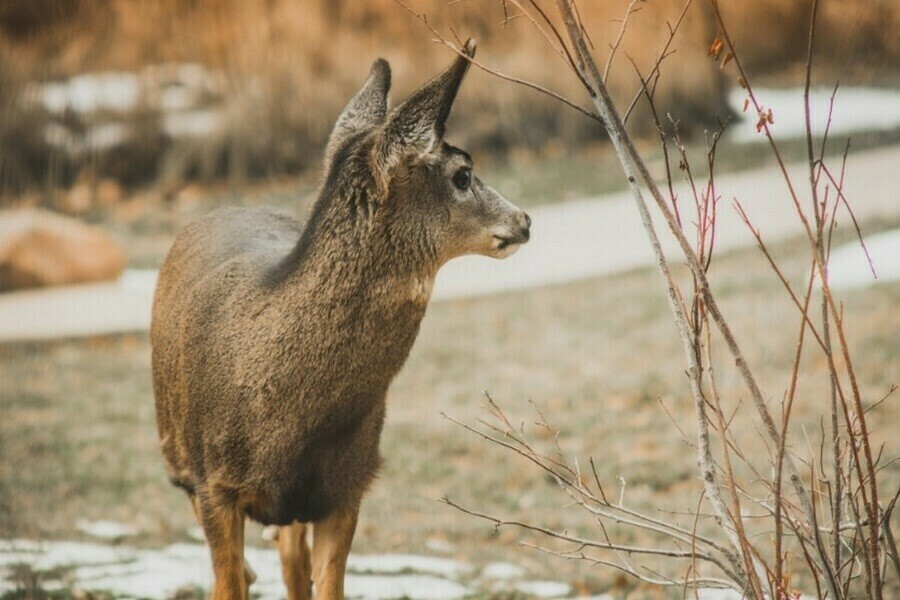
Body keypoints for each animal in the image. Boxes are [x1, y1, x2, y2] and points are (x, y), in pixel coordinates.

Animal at [148, 38, 528, 600]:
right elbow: (227, 579)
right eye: (462, 174)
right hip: (177, 453)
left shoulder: (350, 483)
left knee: (291, 560)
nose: (525, 219)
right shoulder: (215, 483)